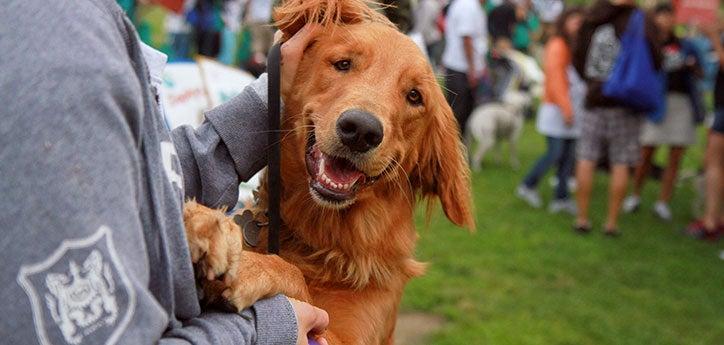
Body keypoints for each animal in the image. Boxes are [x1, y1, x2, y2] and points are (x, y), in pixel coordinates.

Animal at [184, 1, 472, 342]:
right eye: (343, 64)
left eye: (415, 96)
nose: (361, 130)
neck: (321, 243)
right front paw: (205, 223)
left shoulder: (341, 335)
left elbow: (295, 278)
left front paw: (249, 266)